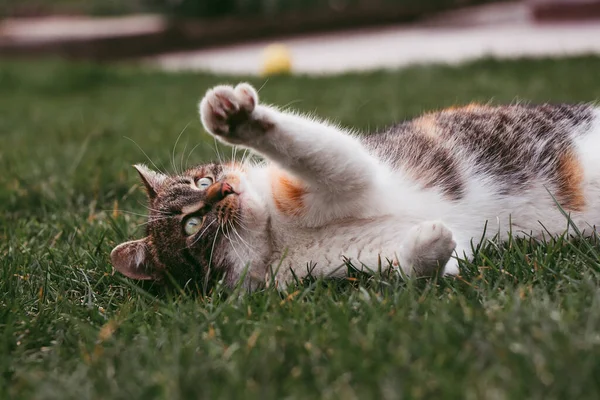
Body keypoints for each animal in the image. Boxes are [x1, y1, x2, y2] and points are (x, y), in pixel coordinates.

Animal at [109, 83, 600, 290]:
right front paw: (431, 241)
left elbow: (324, 152)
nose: (223, 192)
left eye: (204, 179)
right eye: (191, 227)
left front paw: (237, 118)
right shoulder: (348, 259)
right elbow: (434, 262)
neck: (275, 236)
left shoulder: (353, 172)